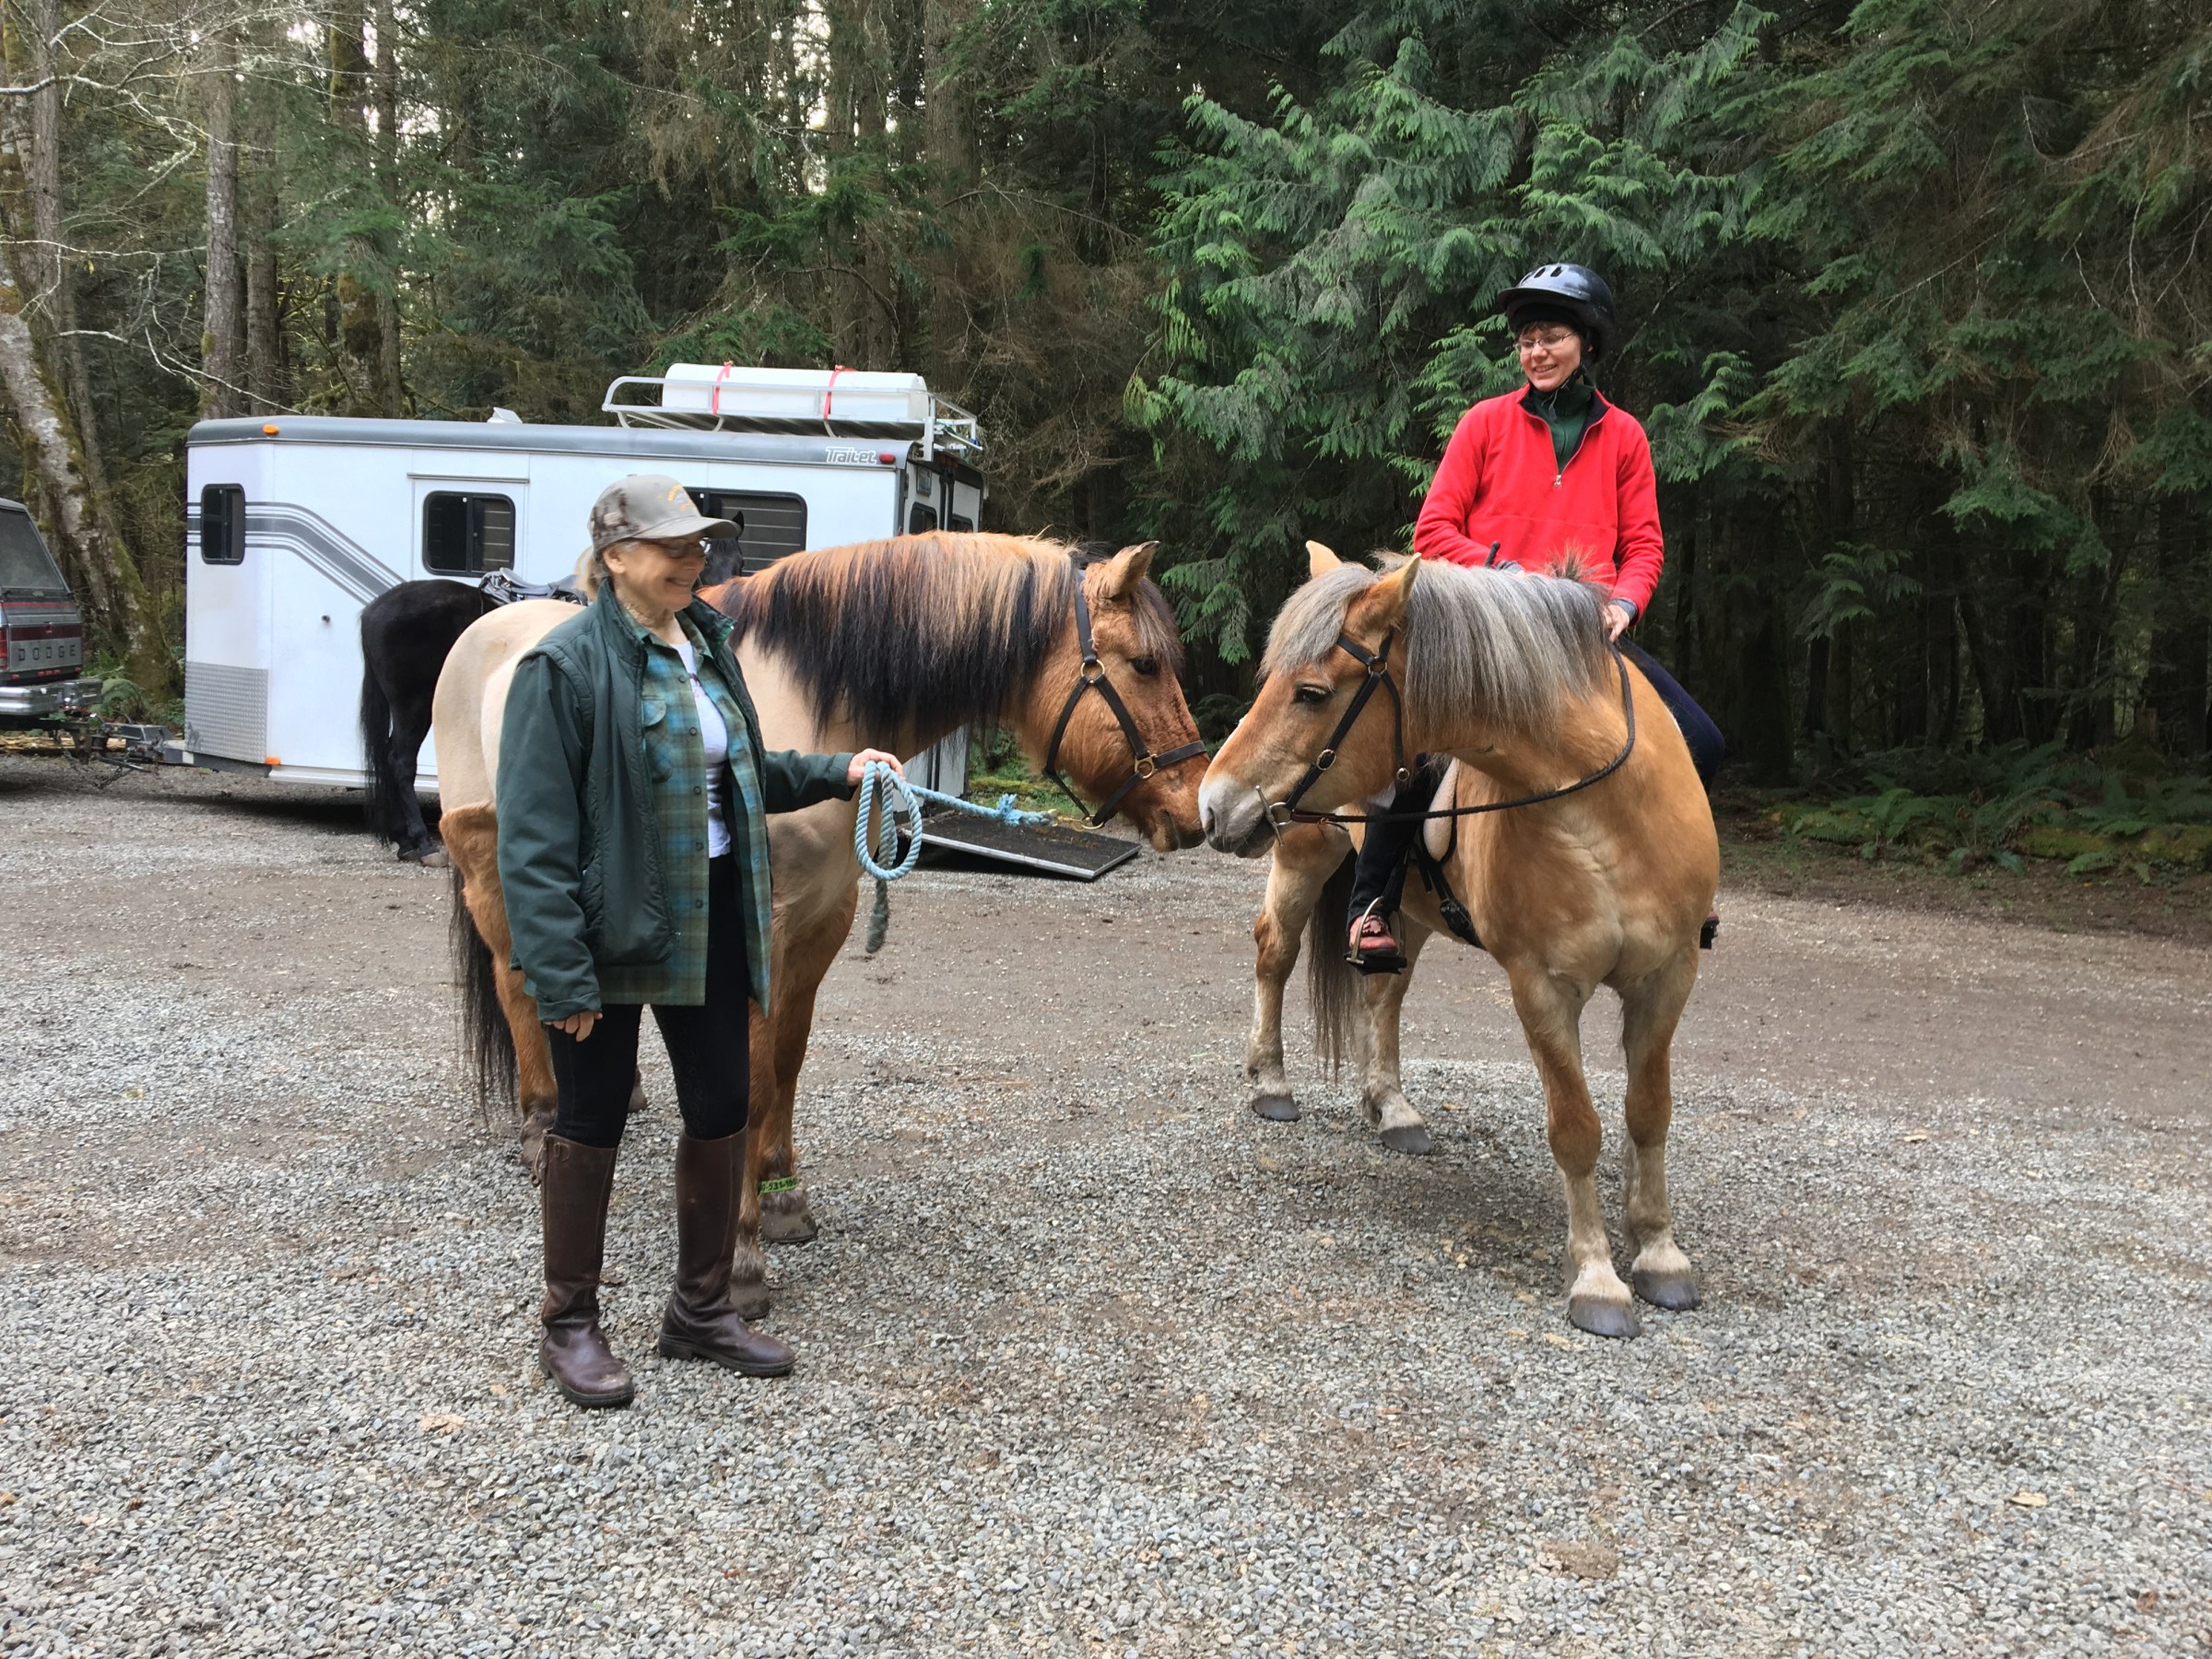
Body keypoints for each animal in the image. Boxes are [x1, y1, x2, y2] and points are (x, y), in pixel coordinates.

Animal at [430, 532, 1207, 1316]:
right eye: (1145, 664)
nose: (1195, 810)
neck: (807, 703)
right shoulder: (757, 934)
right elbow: (749, 1082)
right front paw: (741, 1256)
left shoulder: (823, 925)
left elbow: (788, 1062)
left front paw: (781, 1197)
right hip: (490, 870)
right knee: (517, 988)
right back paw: (539, 1128)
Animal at [1197, 542, 1719, 1339]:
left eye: (1312, 692)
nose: (1212, 804)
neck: (1604, 814)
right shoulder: (1541, 986)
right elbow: (1577, 1126)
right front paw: (1597, 1279)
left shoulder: (1668, 978)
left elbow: (1648, 1112)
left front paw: (1659, 1252)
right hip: (1303, 855)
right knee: (1274, 954)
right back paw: (1273, 1082)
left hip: (1403, 911)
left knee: (1383, 991)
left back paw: (1393, 1109)